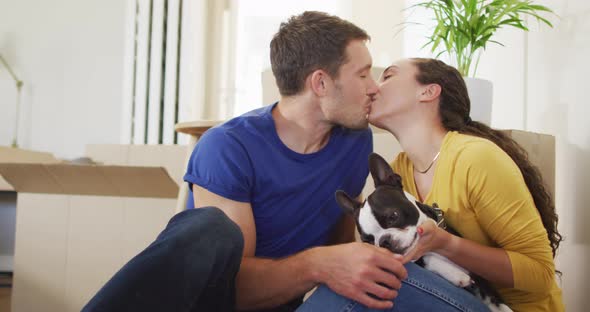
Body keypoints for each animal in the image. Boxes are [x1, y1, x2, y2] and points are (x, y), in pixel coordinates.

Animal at [338, 152, 512, 310]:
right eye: (367, 241)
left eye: (393, 216)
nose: (383, 242)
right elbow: (428, 259)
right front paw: (455, 274)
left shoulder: (483, 280)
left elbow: (499, 304)